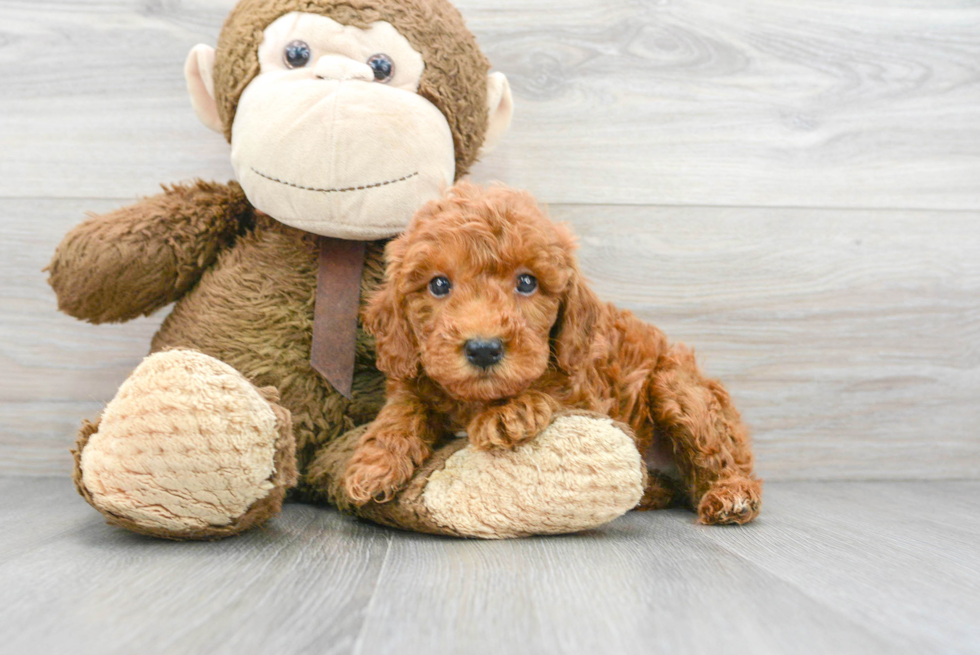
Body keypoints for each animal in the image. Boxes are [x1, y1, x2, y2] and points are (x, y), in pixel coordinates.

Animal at [344, 182, 764, 524]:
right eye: (439, 285)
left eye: (527, 282)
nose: (484, 349)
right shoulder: (415, 375)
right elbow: (403, 409)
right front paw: (373, 463)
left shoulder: (586, 392)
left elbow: (550, 392)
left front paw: (508, 414)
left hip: (678, 388)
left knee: (722, 456)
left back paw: (732, 495)